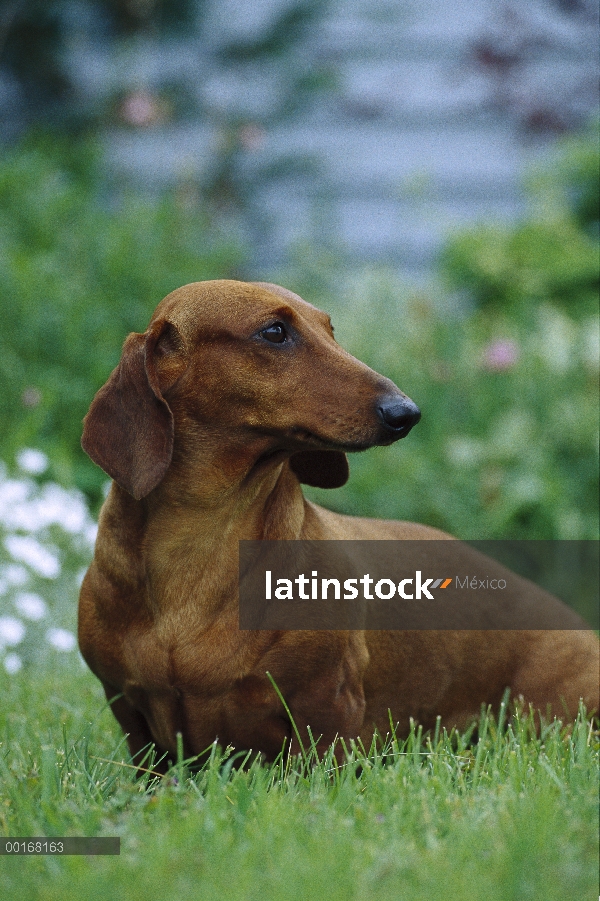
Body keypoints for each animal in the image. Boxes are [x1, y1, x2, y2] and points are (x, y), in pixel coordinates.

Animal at [77, 278, 596, 764]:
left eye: (331, 329)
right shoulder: (128, 706)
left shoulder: (326, 703)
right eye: (275, 331)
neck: (202, 544)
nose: (406, 413)